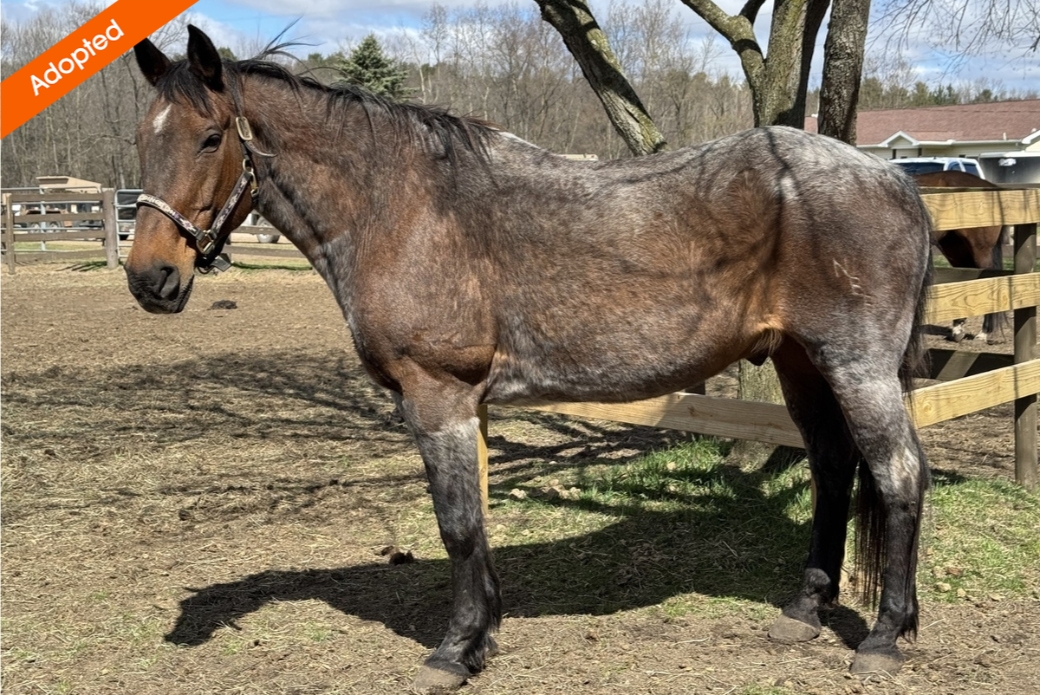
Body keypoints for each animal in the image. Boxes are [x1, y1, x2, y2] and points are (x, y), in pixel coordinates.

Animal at [127, 27, 933, 691]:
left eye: (209, 138)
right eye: (141, 138)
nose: (150, 279)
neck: (403, 208)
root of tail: (892, 177)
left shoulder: (438, 396)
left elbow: (456, 524)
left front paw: (454, 651)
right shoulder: (464, 405)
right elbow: (477, 521)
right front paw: (483, 634)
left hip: (856, 366)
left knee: (897, 475)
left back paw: (884, 637)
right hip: (802, 362)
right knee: (833, 465)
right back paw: (804, 610)